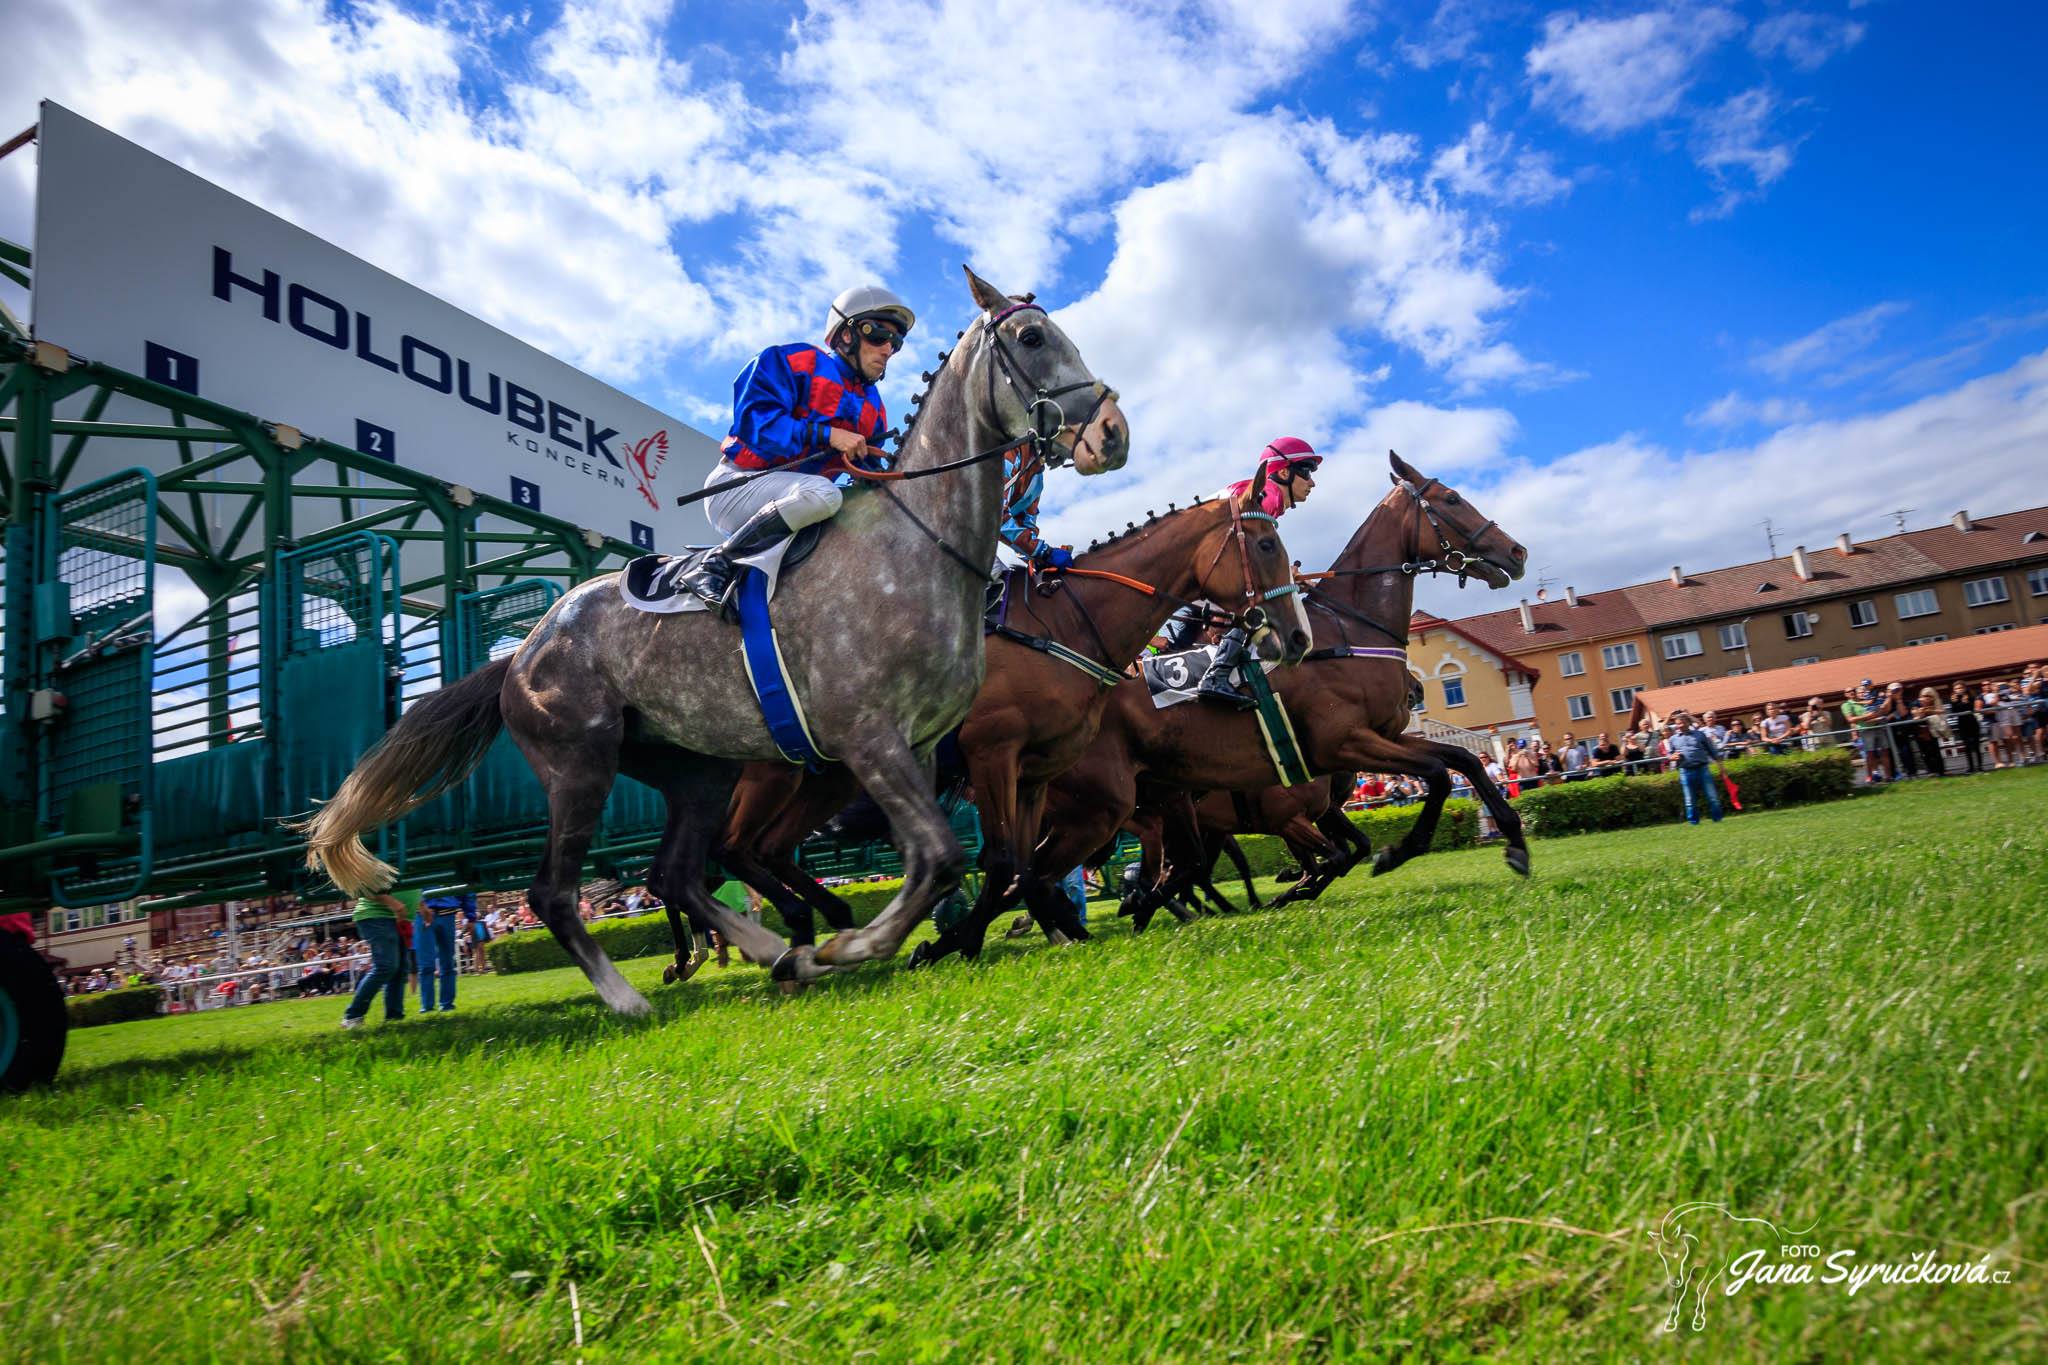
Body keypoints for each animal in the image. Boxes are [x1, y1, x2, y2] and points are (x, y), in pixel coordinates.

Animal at [303, 270, 1130, 1015]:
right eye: (1033, 337)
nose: (1111, 434)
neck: (917, 546)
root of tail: (520, 653)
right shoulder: (868, 737)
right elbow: (941, 856)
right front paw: (857, 943)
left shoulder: (924, 747)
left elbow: (945, 863)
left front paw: (854, 942)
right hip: (579, 764)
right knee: (555, 891)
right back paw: (633, 997)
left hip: (696, 768)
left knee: (675, 873)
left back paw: (776, 952)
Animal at [921, 448, 1531, 961]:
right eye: (1450, 498)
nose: (1517, 551)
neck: (1351, 631)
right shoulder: (1339, 746)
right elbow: (1430, 779)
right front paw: (1394, 853)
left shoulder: (1373, 743)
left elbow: (1461, 763)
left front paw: (1513, 842)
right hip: (1102, 801)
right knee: (1031, 871)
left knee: (1043, 871)